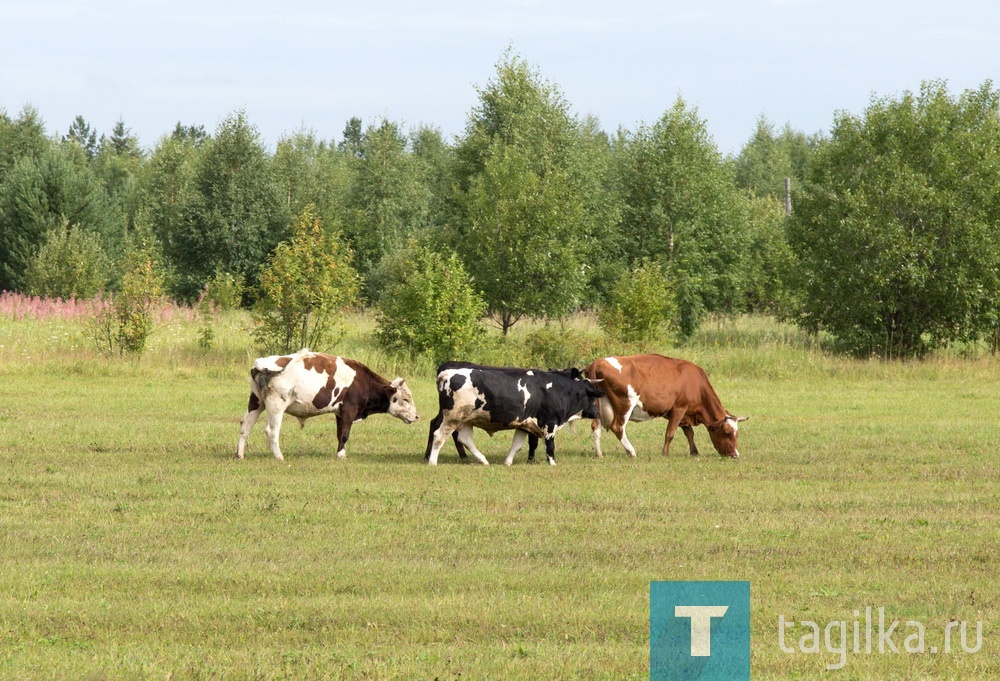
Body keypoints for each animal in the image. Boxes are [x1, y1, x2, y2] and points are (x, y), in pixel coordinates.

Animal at [422, 362, 600, 468]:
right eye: (591, 397)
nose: (597, 413)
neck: (559, 389)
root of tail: (448, 373)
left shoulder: (524, 425)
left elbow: (517, 445)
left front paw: (508, 462)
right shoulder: (549, 424)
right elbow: (549, 446)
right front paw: (552, 463)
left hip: (466, 420)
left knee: (464, 439)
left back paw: (482, 460)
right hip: (453, 418)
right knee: (439, 435)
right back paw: (432, 461)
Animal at [584, 354, 748, 460]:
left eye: (737, 434)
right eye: (726, 433)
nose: (735, 455)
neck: (696, 384)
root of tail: (598, 362)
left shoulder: (685, 413)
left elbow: (689, 433)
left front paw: (694, 452)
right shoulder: (679, 408)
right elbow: (670, 433)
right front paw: (665, 454)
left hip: (598, 406)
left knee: (596, 427)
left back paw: (598, 454)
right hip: (625, 404)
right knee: (618, 427)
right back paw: (631, 451)